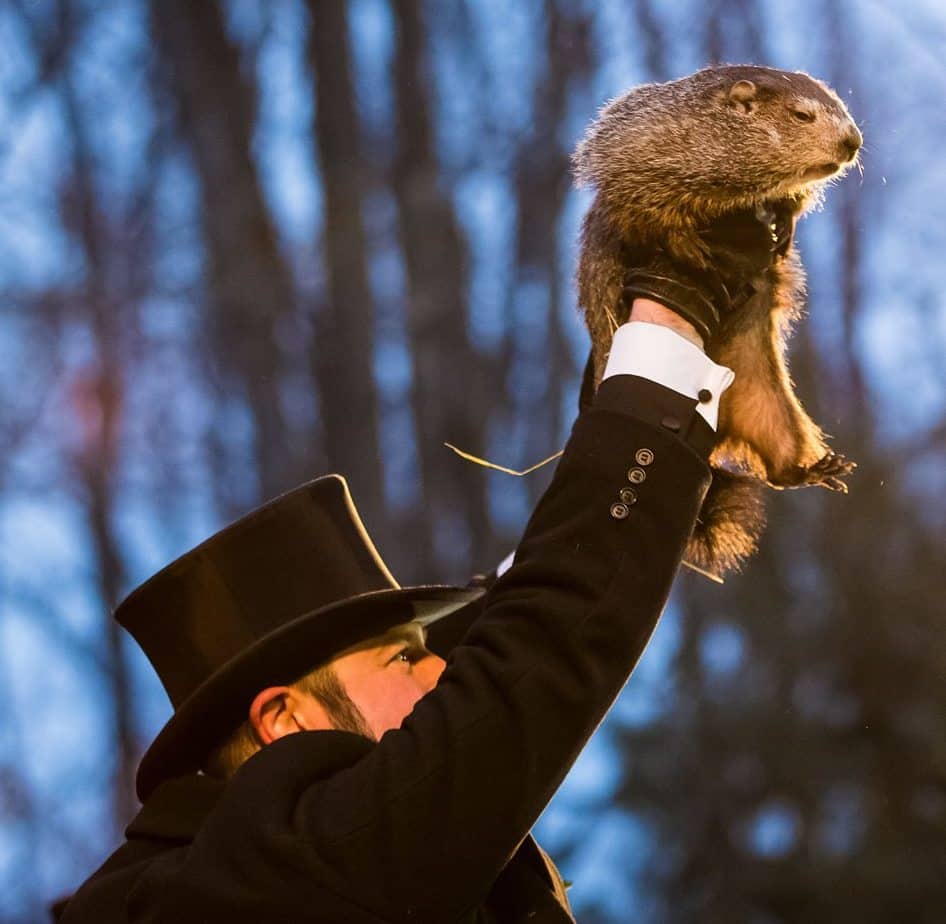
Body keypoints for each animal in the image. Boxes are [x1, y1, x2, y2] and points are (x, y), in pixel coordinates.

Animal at [573, 65, 862, 575]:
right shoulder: (641, 147)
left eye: (842, 107)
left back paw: (811, 468)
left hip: (771, 405)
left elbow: (791, 201)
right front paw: (694, 250)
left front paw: (785, 220)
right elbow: (640, 203)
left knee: (780, 460)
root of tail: (715, 435)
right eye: (802, 115)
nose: (855, 141)